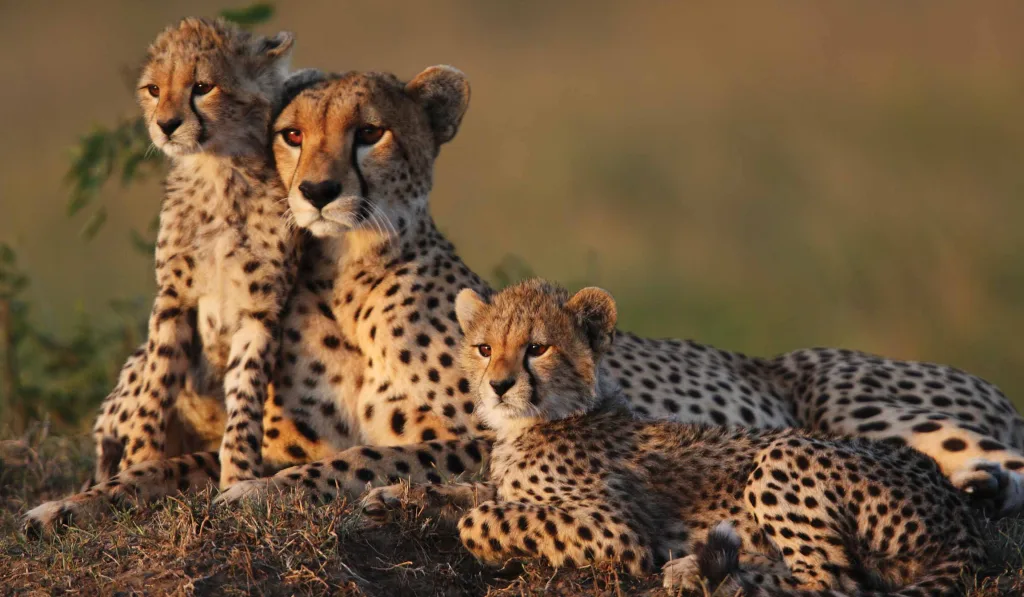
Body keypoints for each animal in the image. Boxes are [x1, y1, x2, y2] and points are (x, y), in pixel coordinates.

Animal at [361, 279, 988, 596]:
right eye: (484, 347)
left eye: (537, 347)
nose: (497, 385)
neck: (541, 421)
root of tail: (953, 502)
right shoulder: (503, 482)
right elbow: (468, 491)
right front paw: (394, 497)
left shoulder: (619, 532)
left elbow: (484, 516)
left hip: (784, 454)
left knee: (834, 581)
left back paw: (708, 575)